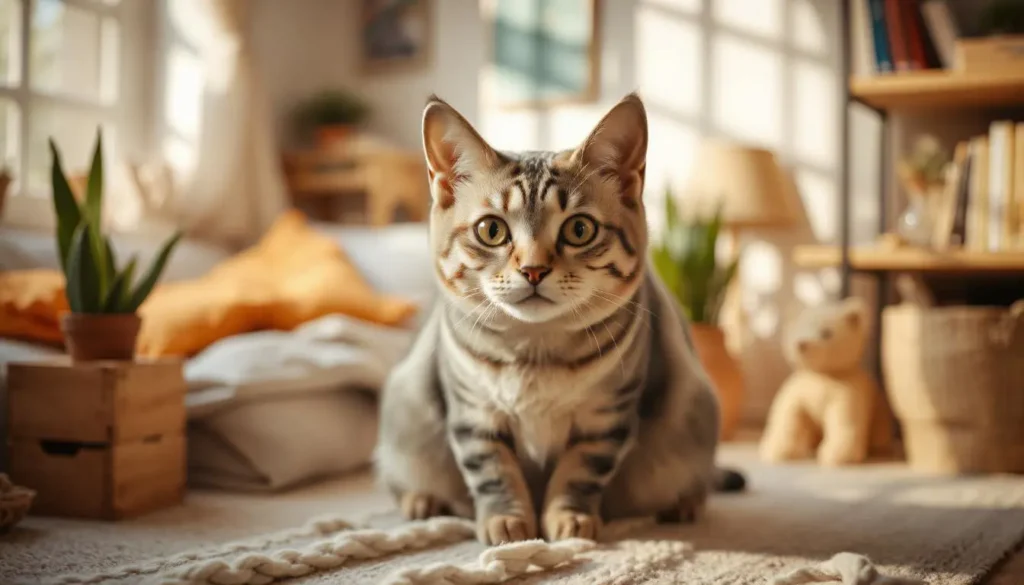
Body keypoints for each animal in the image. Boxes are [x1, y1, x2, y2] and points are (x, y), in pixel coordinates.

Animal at [376, 93, 745, 549]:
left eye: (580, 229)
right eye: (492, 230)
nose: (533, 270)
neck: (536, 352)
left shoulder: (606, 418)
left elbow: (580, 473)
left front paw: (569, 517)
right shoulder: (473, 414)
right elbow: (494, 473)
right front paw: (507, 521)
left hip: (693, 416)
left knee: (695, 477)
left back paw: (684, 504)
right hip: (405, 419)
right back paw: (422, 502)